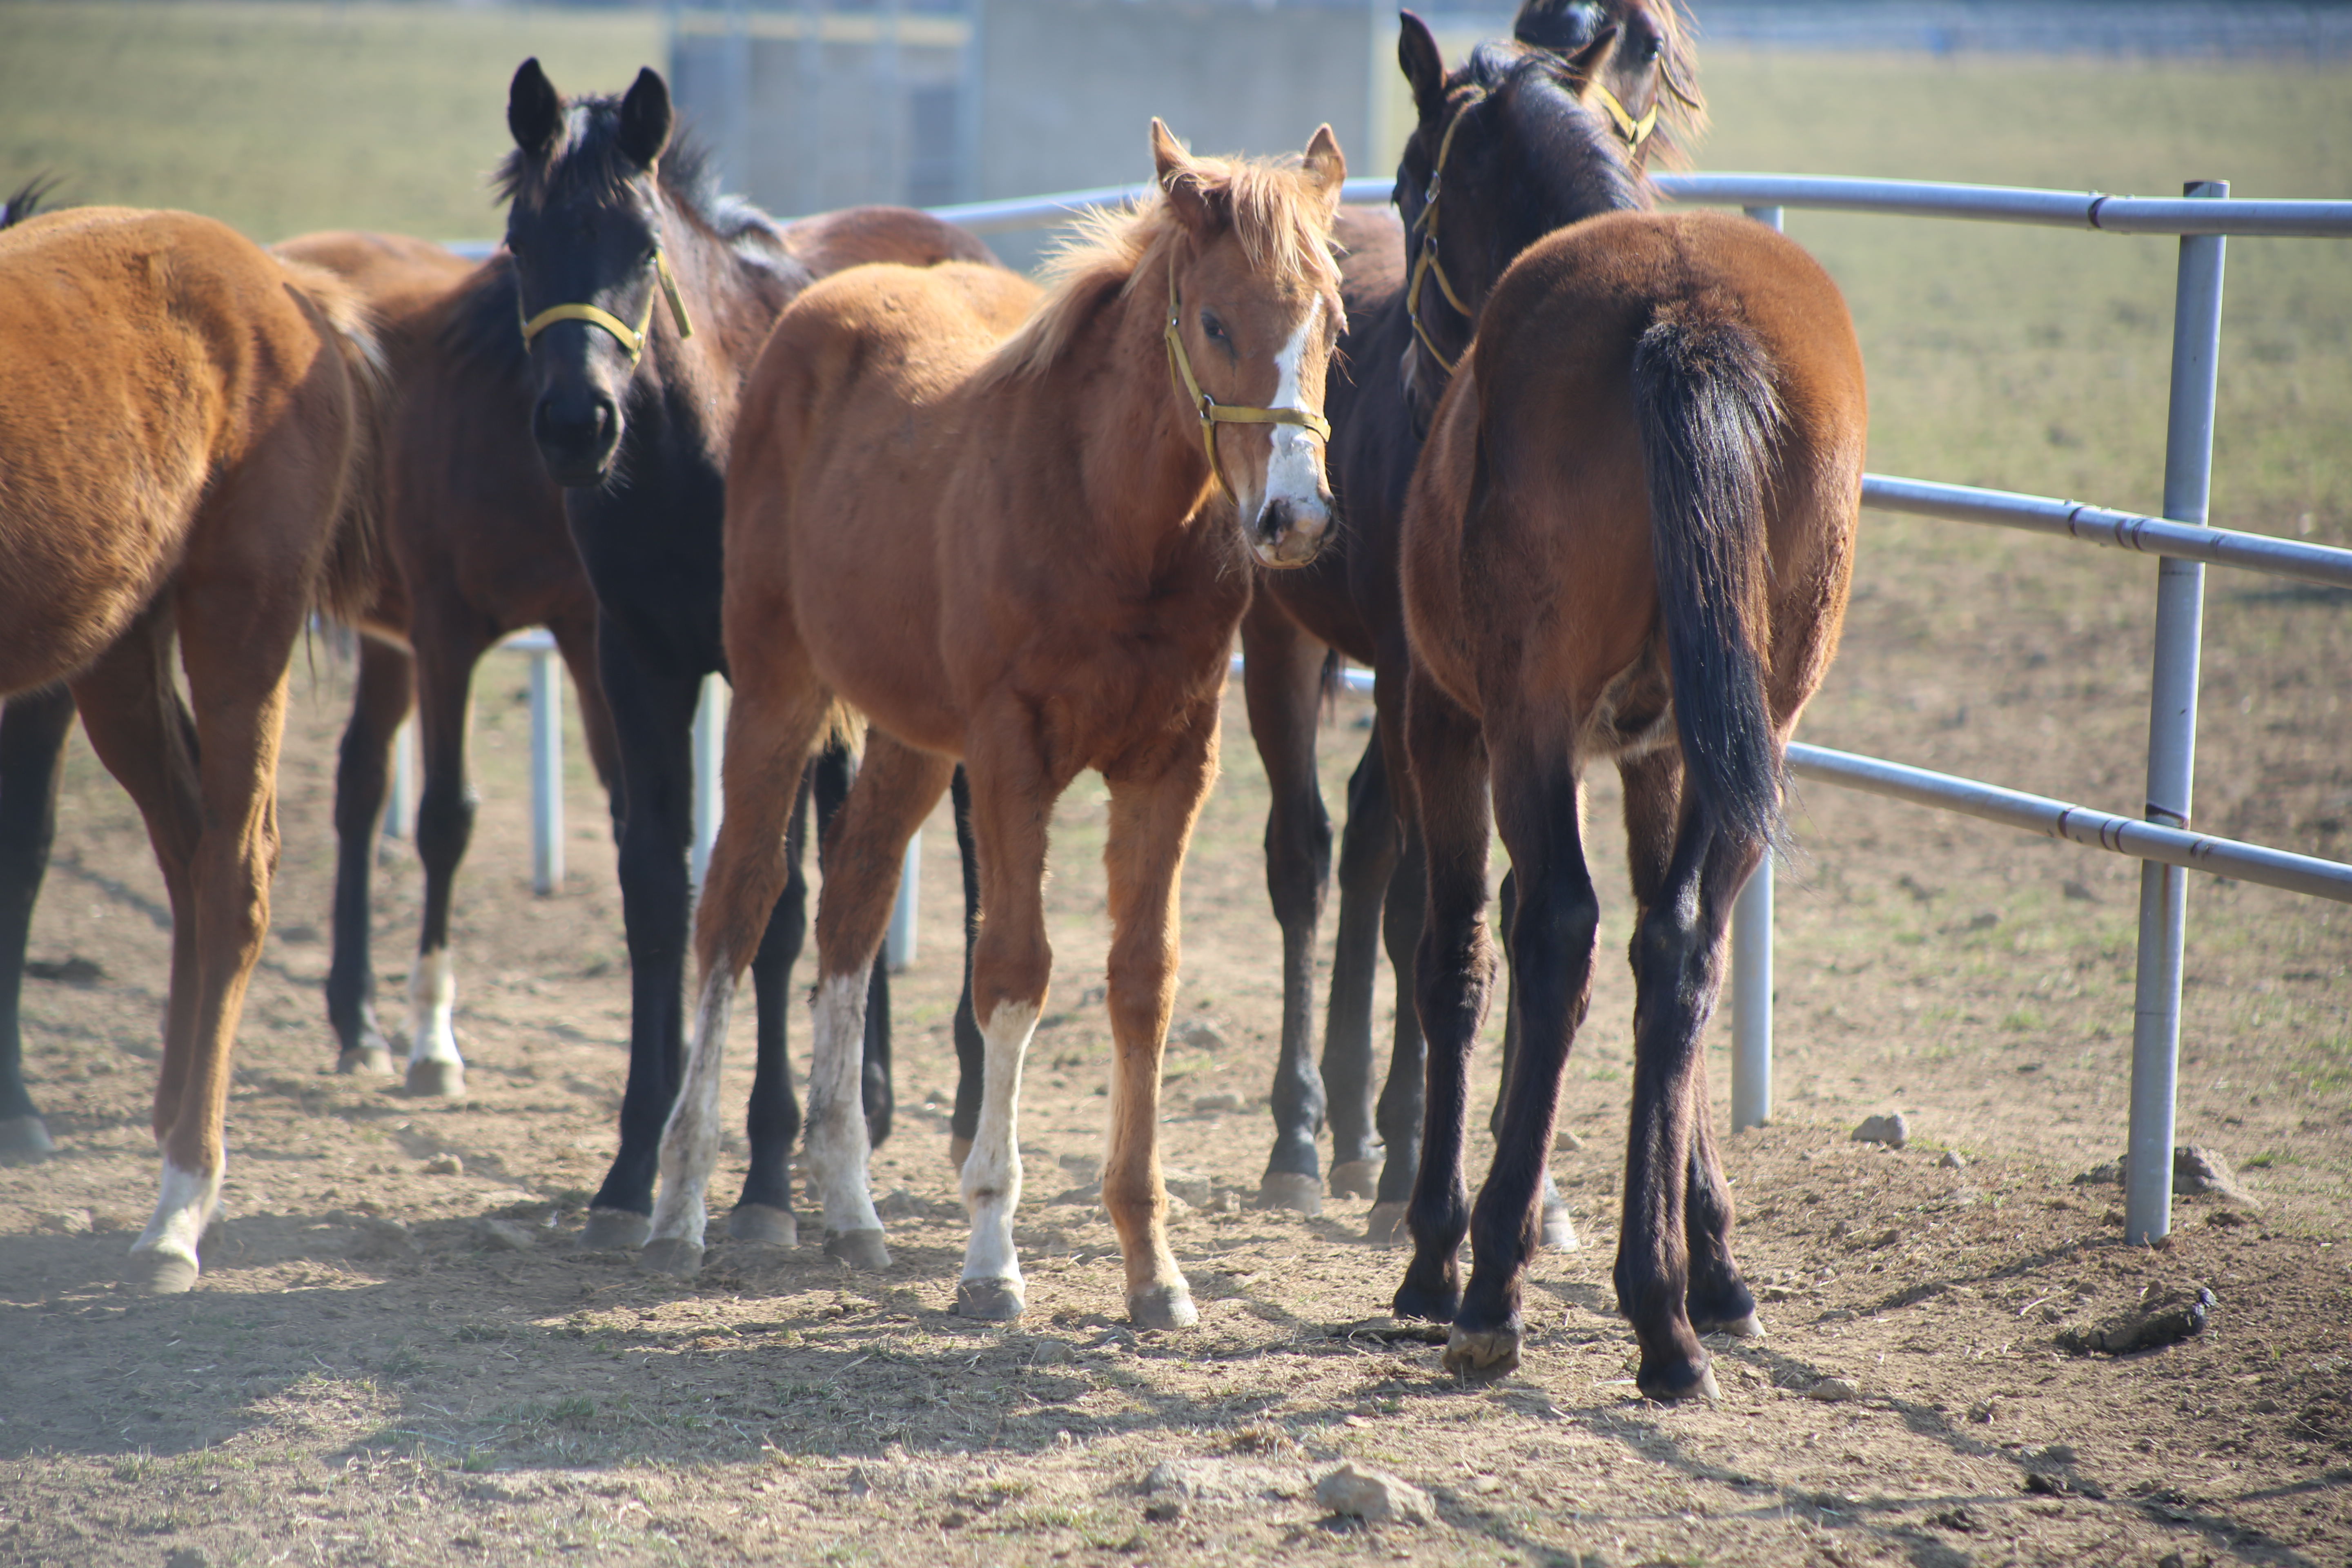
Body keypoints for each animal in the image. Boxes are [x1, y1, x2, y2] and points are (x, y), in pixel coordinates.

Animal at [0, 205, 385, 1288]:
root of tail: (287, 284)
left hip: (238, 624)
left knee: (233, 876)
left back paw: (181, 1201)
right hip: (119, 649)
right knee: (189, 846)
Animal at [506, 64, 992, 1250]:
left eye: (642, 245)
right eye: (518, 242)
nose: (576, 424)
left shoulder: (775, 682)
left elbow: (778, 905)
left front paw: (767, 1181)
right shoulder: (637, 662)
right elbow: (658, 888)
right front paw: (631, 1170)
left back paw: (955, 1110)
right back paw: (868, 1098)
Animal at [644, 126, 1354, 1326]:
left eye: (1335, 323)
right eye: (1216, 322)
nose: (1293, 519)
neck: (1113, 523)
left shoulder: (1173, 761)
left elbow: (1142, 981)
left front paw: (1152, 1267)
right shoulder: (1012, 754)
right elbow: (1015, 973)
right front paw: (990, 1257)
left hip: (912, 736)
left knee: (855, 897)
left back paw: (852, 1210)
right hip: (779, 688)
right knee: (737, 903)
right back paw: (681, 1207)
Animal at [1232, 0, 1712, 1232]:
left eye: (1648, 48)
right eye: (1410, 188)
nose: (1407, 381)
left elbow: (1484, 891)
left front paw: (1507, 1171)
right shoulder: (1433, 688)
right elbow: (1431, 899)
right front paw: (1421, 1155)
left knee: (1363, 839)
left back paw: (1356, 1128)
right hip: (1282, 637)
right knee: (1305, 854)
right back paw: (1303, 1135)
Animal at [1383, 49, 1862, 1401]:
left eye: (1409, 191)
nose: (1409, 377)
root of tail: (1684, 316)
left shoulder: (1446, 725)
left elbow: (1454, 961)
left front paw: (1436, 1250)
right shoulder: (1662, 752)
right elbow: (1668, 946)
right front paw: (1711, 1259)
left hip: (1527, 727)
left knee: (1558, 932)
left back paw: (1492, 1286)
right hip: (1757, 731)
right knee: (1683, 946)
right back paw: (1667, 1314)